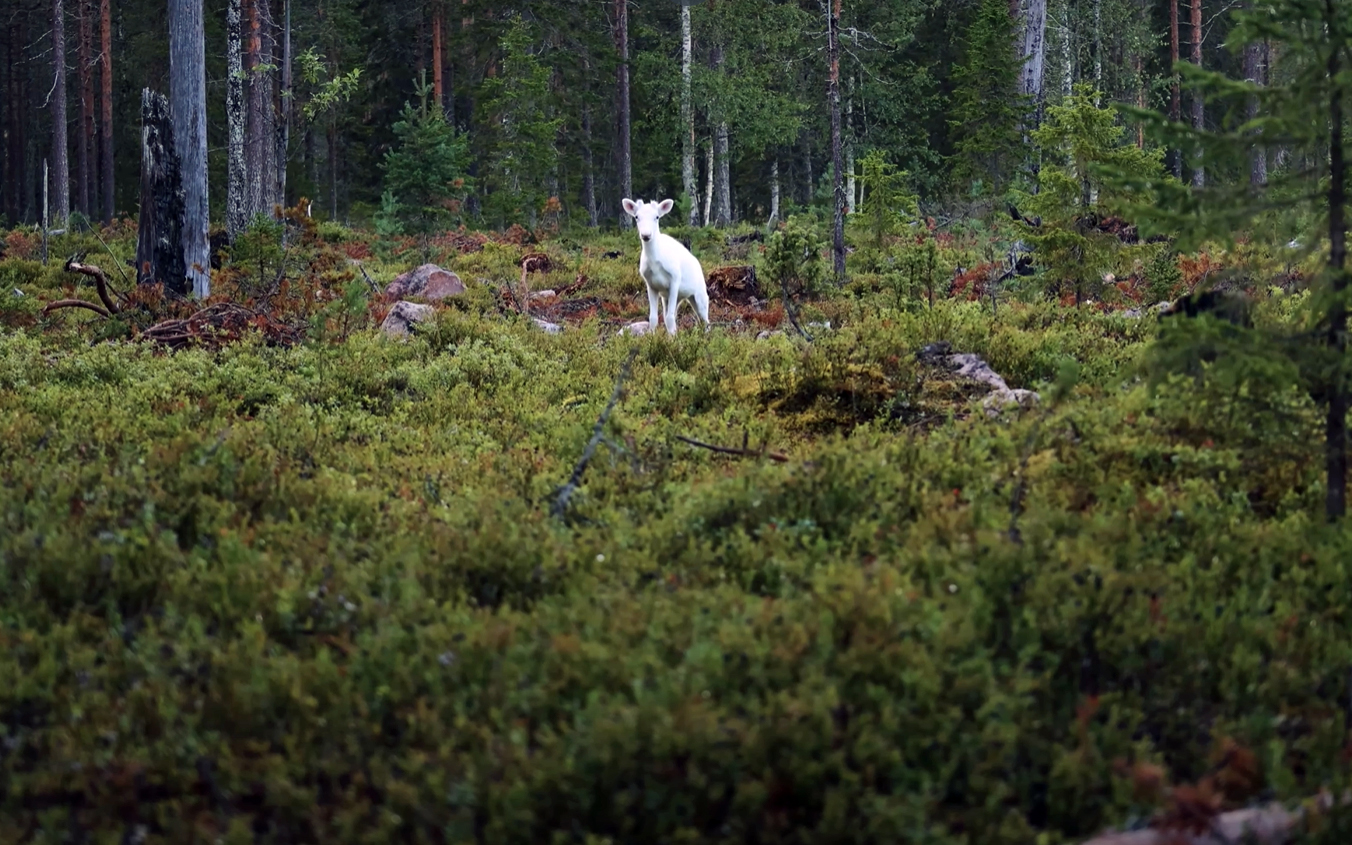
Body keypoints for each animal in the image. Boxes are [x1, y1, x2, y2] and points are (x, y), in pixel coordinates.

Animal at [619, 196, 713, 333]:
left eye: (657, 217)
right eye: (636, 216)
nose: (646, 235)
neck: (654, 261)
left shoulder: (675, 279)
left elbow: (669, 318)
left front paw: (673, 339)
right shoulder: (651, 285)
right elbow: (654, 318)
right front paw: (653, 336)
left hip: (699, 294)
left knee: (705, 319)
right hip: (671, 298)